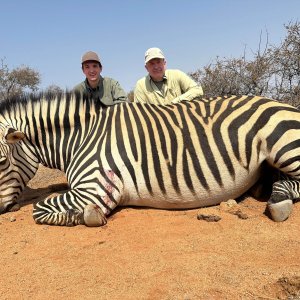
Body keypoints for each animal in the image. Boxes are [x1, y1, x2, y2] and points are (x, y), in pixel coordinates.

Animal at [0, 92, 298, 226]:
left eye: (1, 162)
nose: (1, 209)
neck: (80, 139)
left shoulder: (94, 187)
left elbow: (40, 210)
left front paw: (89, 216)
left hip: (282, 146)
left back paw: (278, 203)